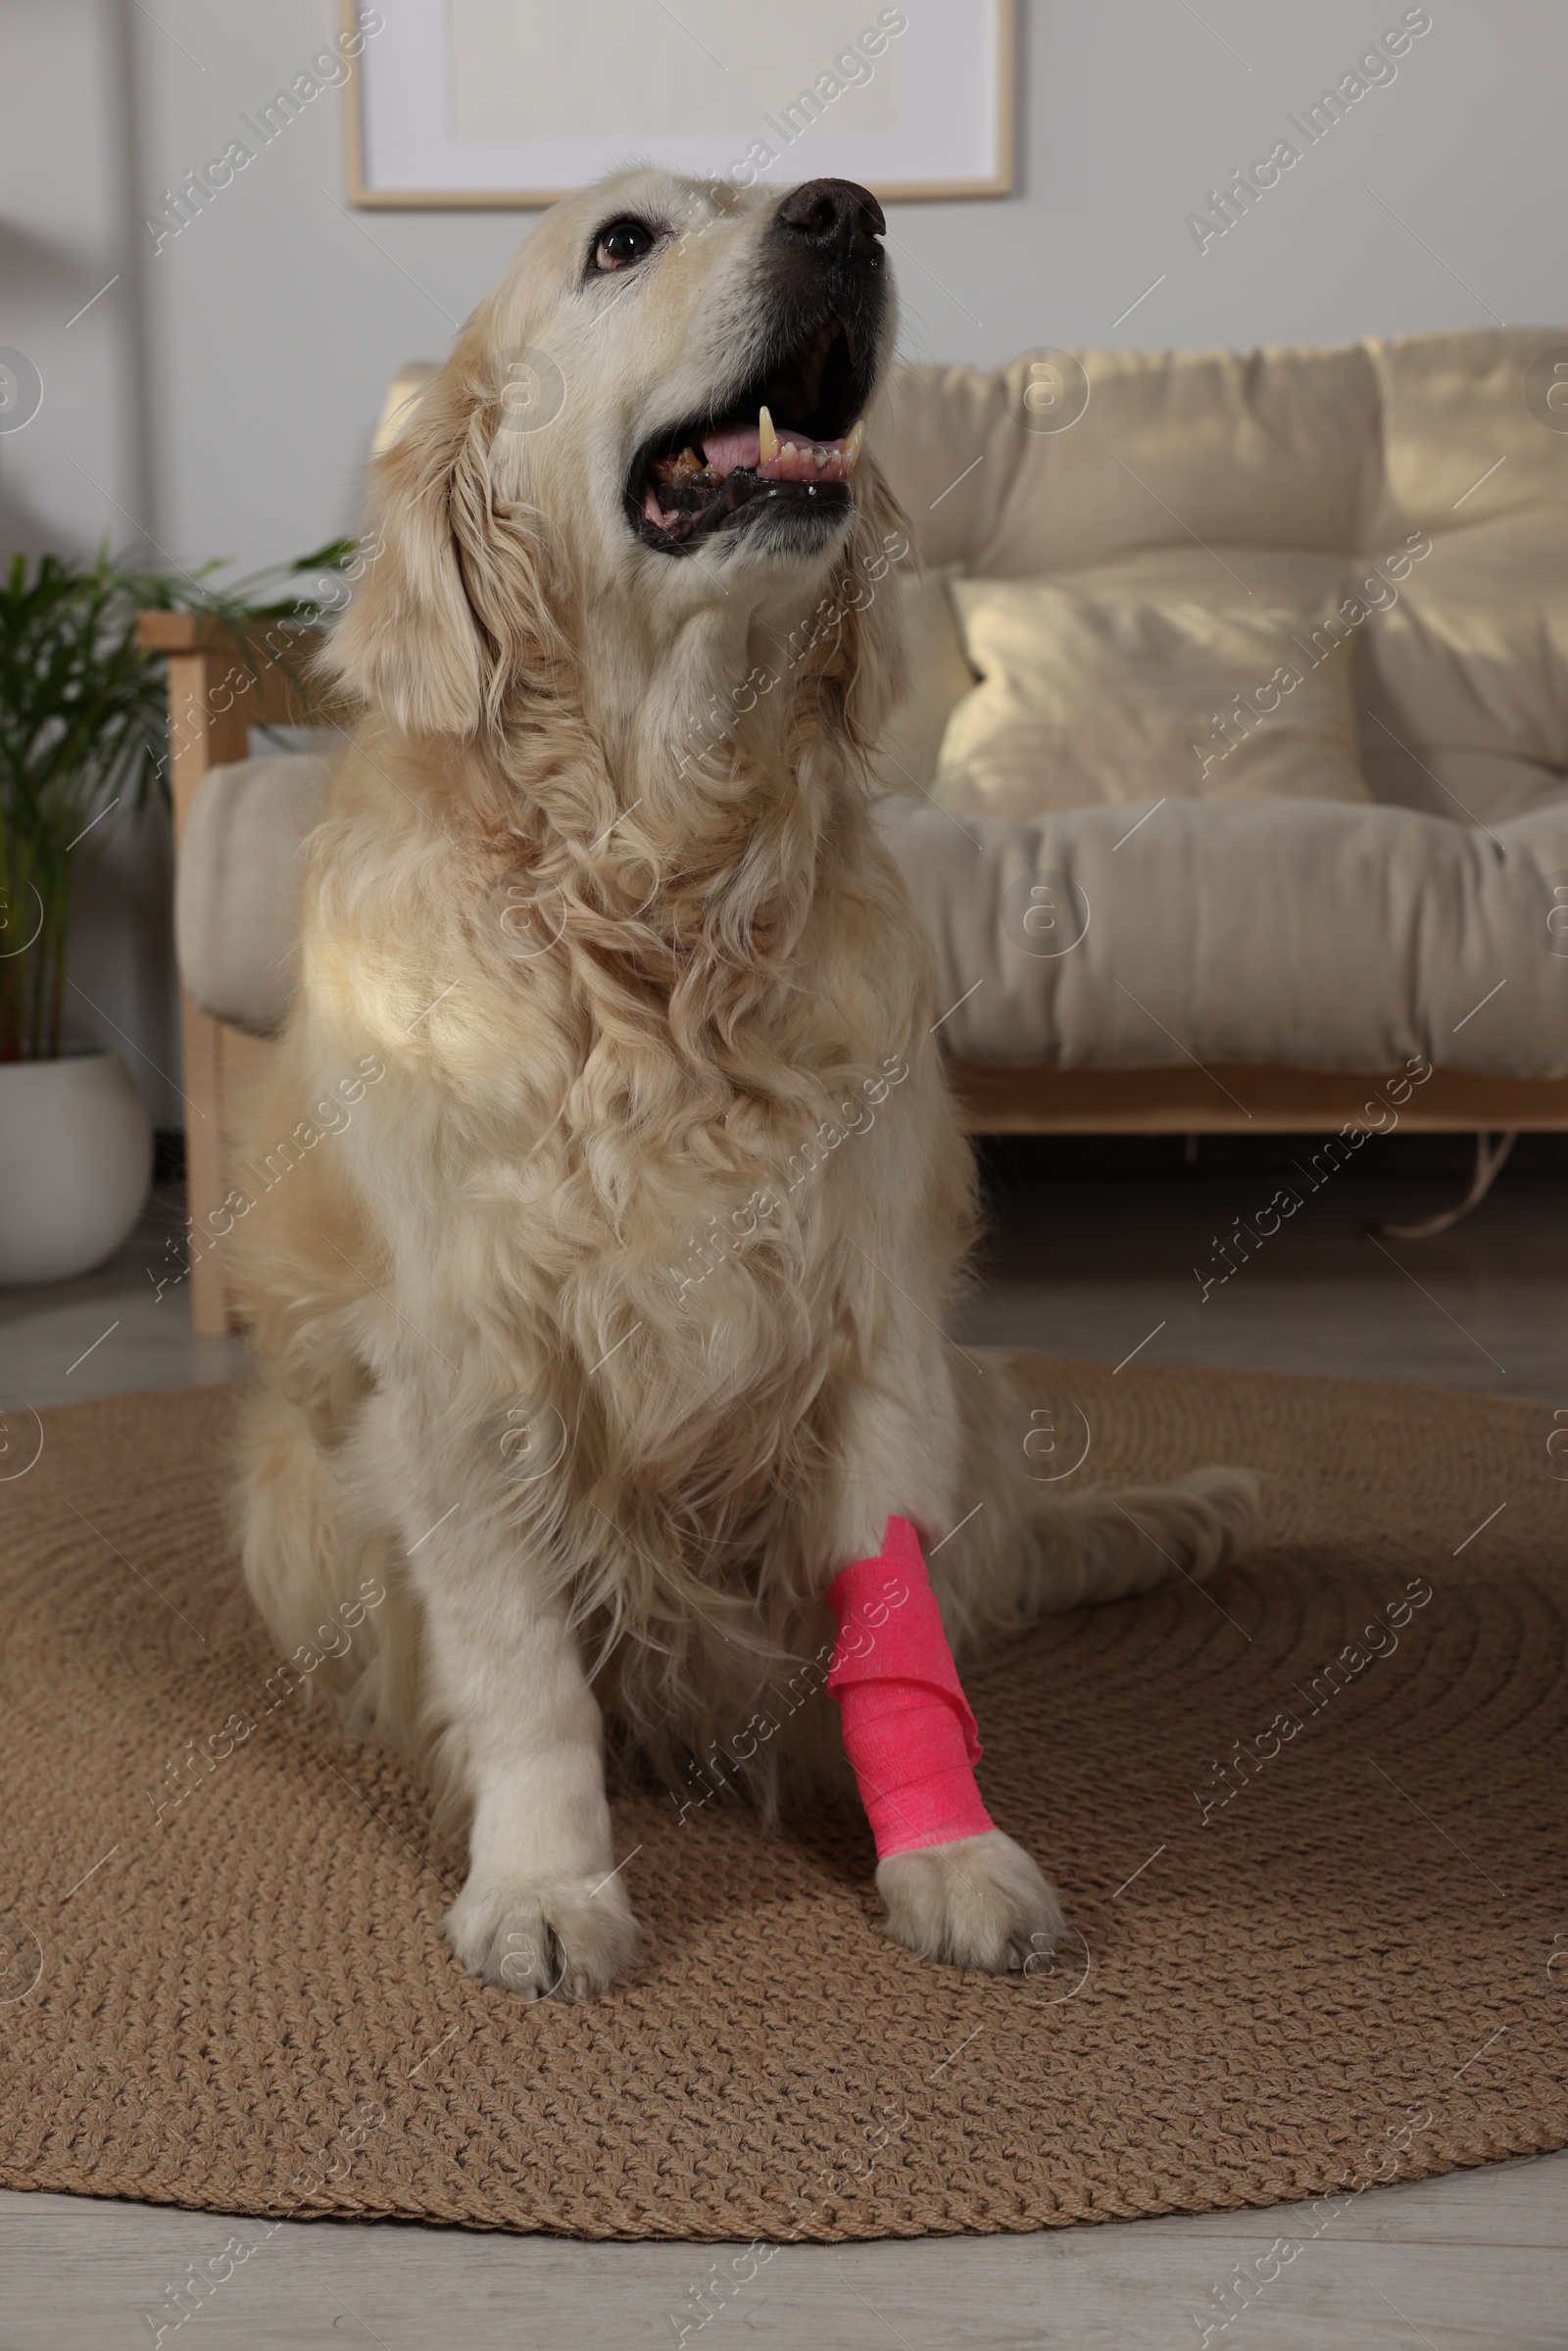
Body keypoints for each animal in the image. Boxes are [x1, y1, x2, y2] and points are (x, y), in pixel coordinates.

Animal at [232, 166, 1259, 2002]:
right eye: (620, 241)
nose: (845, 211)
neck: (657, 893)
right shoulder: (462, 1366)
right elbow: (520, 1664)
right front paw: (546, 1879)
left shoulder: (873, 1326)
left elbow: (897, 1635)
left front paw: (945, 1849)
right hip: (286, 1488)